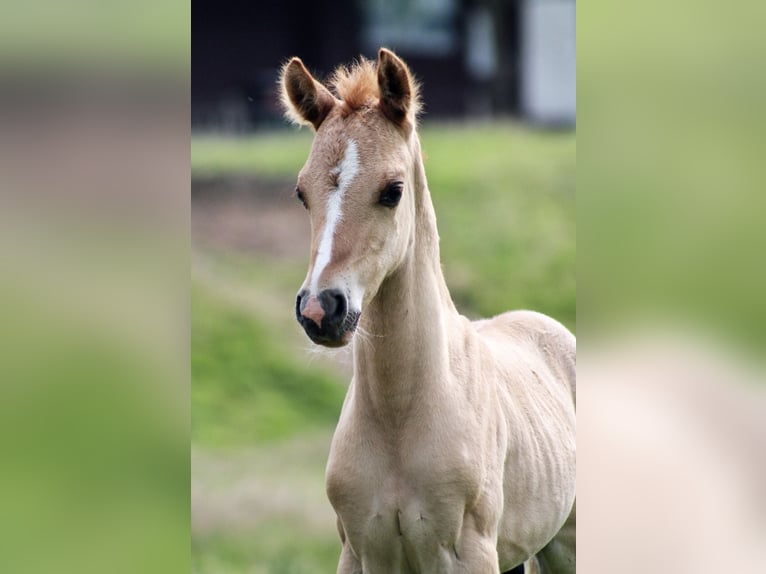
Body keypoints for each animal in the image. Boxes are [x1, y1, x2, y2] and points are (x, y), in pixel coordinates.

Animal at [280, 49, 576, 574]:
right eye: (301, 192)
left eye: (392, 190)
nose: (320, 309)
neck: (401, 415)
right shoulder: (359, 553)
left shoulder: (470, 555)